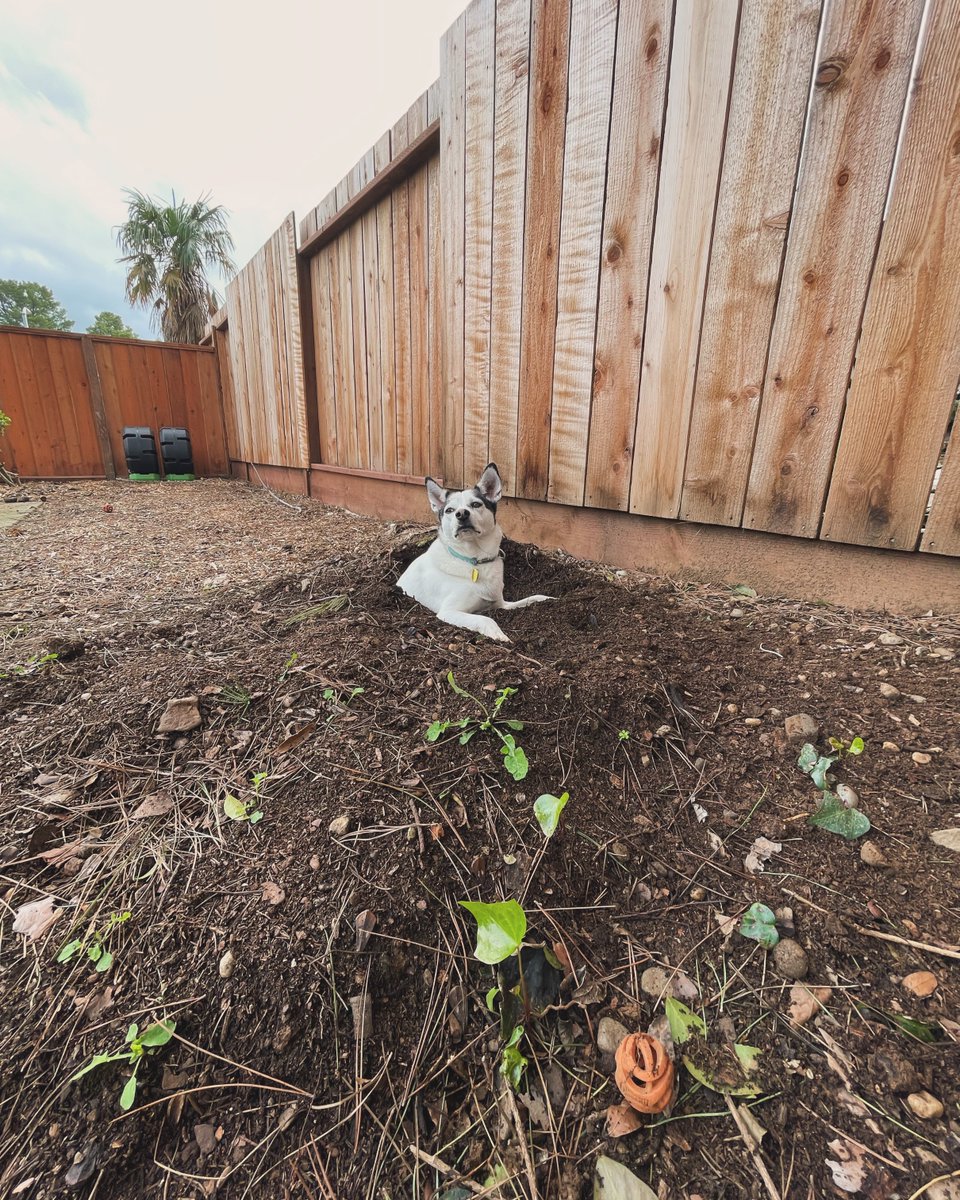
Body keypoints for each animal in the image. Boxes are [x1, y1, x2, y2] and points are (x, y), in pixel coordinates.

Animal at [393, 463, 552, 643]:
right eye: (449, 510)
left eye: (476, 504)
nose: (461, 514)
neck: (474, 559)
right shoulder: (449, 611)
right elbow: (486, 619)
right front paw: (499, 635)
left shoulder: (501, 604)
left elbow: (528, 599)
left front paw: (545, 599)